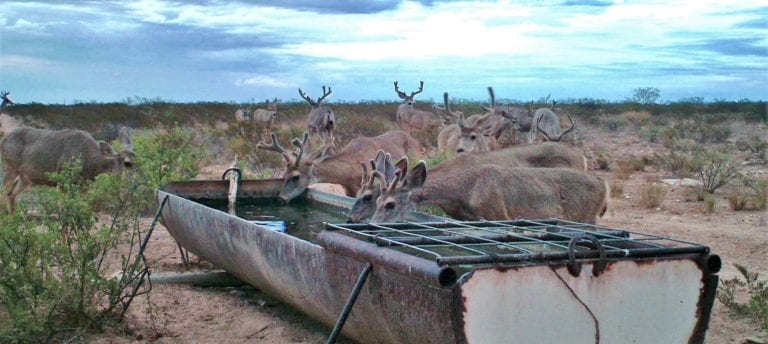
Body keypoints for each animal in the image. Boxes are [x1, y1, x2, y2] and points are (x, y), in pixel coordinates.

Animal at [1, 127, 135, 211]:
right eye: (127, 163)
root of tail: (3, 140)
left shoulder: (83, 186)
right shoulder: (62, 181)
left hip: (25, 178)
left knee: (10, 195)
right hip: (9, 167)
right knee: (3, 194)